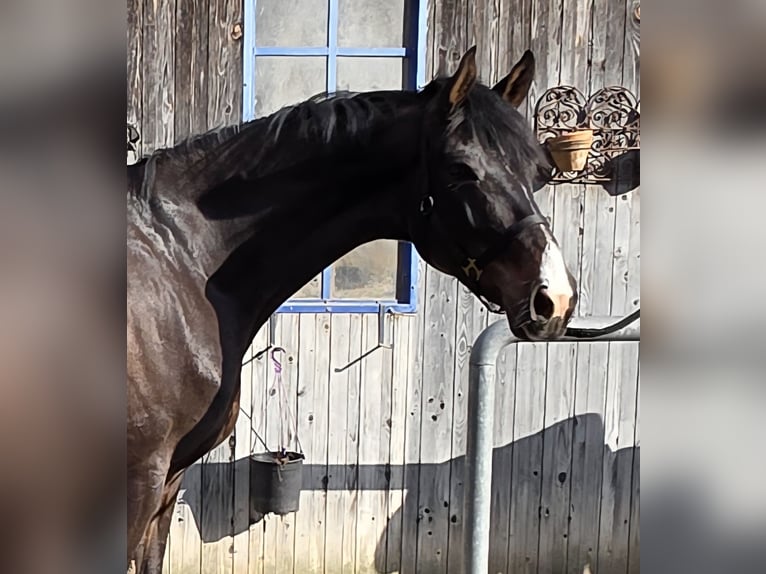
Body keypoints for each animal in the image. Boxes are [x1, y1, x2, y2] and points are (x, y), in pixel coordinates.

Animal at [127, 46, 578, 573]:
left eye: (540, 171)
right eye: (461, 170)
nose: (555, 298)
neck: (181, 259)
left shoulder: (169, 480)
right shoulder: (140, 478)